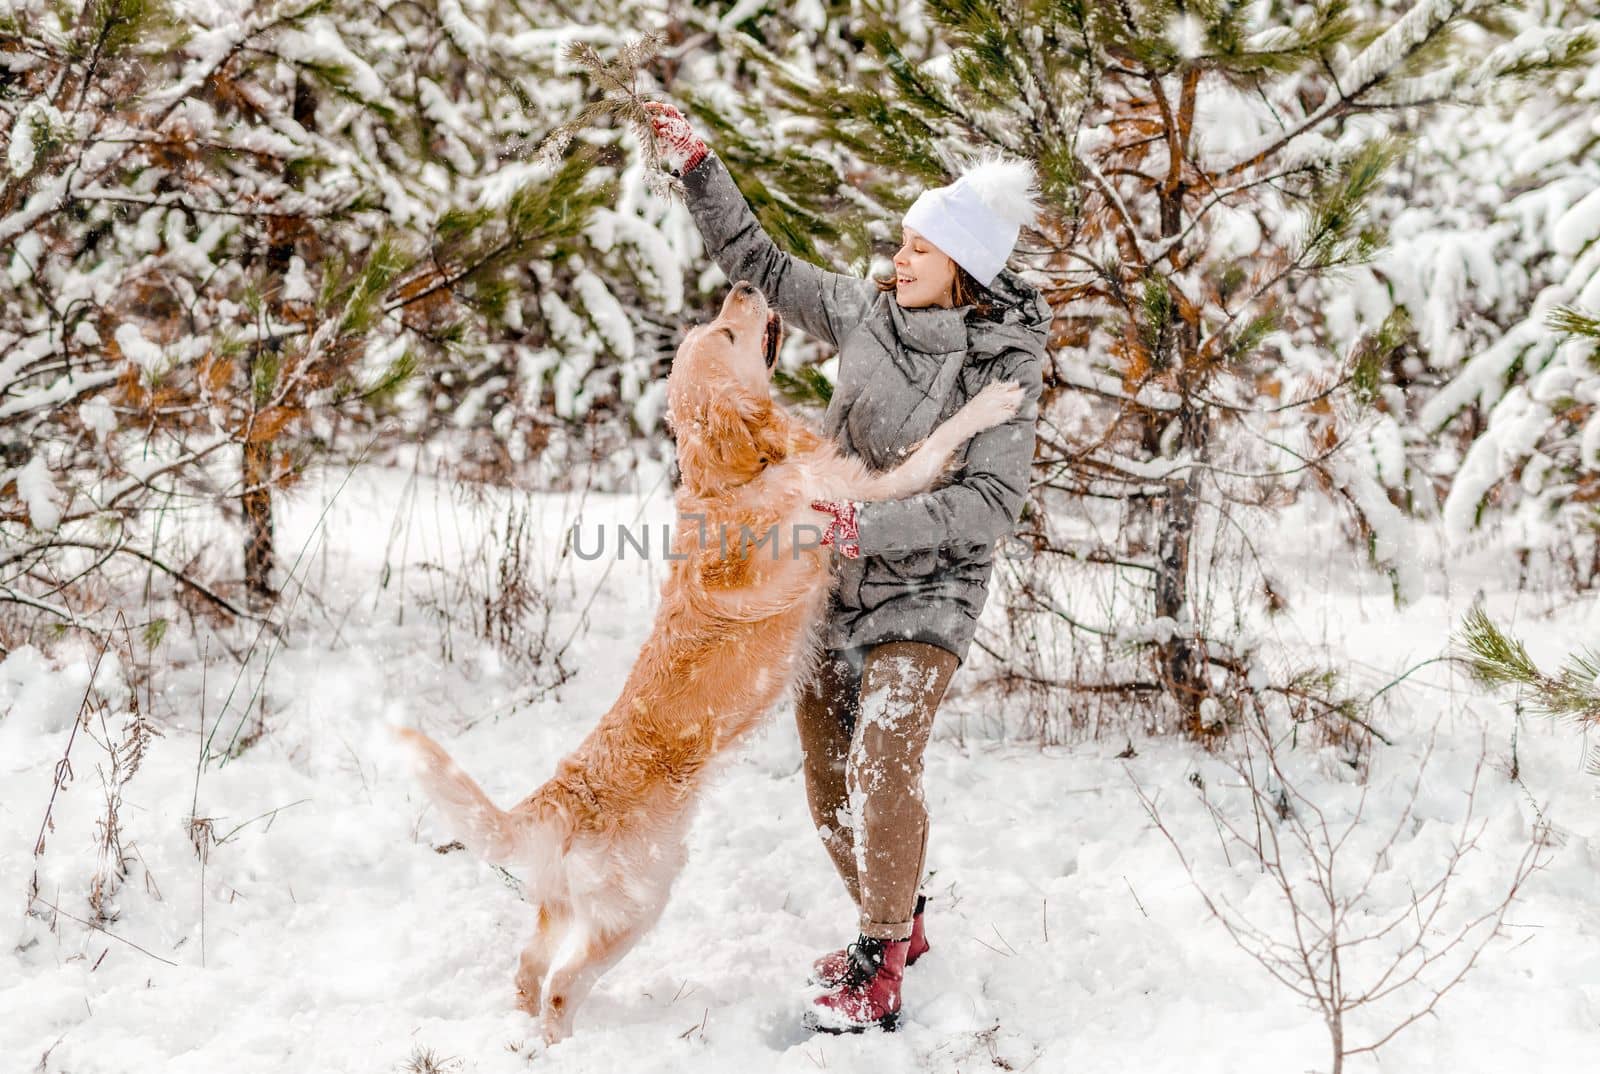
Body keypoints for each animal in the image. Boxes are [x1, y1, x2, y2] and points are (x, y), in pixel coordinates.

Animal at [400, 281, 1024, 1043]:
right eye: (727, 336)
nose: (745, 286)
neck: (737, 473)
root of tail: (560, 799)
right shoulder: (860, 492)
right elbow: (931, 445)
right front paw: (994, 402)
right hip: (635, 910)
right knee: (560, 987)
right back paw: (569, 1044)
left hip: (560, 907)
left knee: (527, 967)